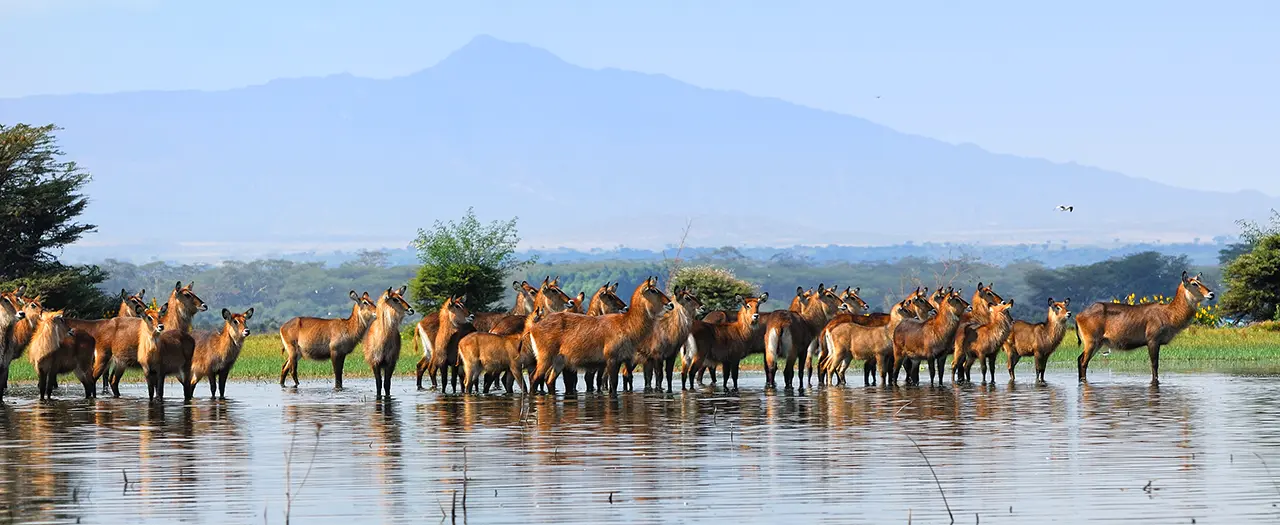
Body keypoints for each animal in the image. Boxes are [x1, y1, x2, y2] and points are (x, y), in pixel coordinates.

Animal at [527, 279, 675, 394]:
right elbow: (613, 385)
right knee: (534, 378)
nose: (671, 304)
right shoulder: (611, 359)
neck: (626, 324)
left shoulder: (620, 360)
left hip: (559, 361)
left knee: (548, 380)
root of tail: (534, 326)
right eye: (654, 290)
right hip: (545, 358)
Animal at [1075, 272, 1213, 384]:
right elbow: (1154, 365)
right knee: (1083, 362)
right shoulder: (1153, 341)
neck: (1169, 313)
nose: (1211, 294)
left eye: (1201, 282)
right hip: (1092, 342)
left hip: (1097, 344)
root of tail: (1078, 315)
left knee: (1079, 359)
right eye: (1194, 283)